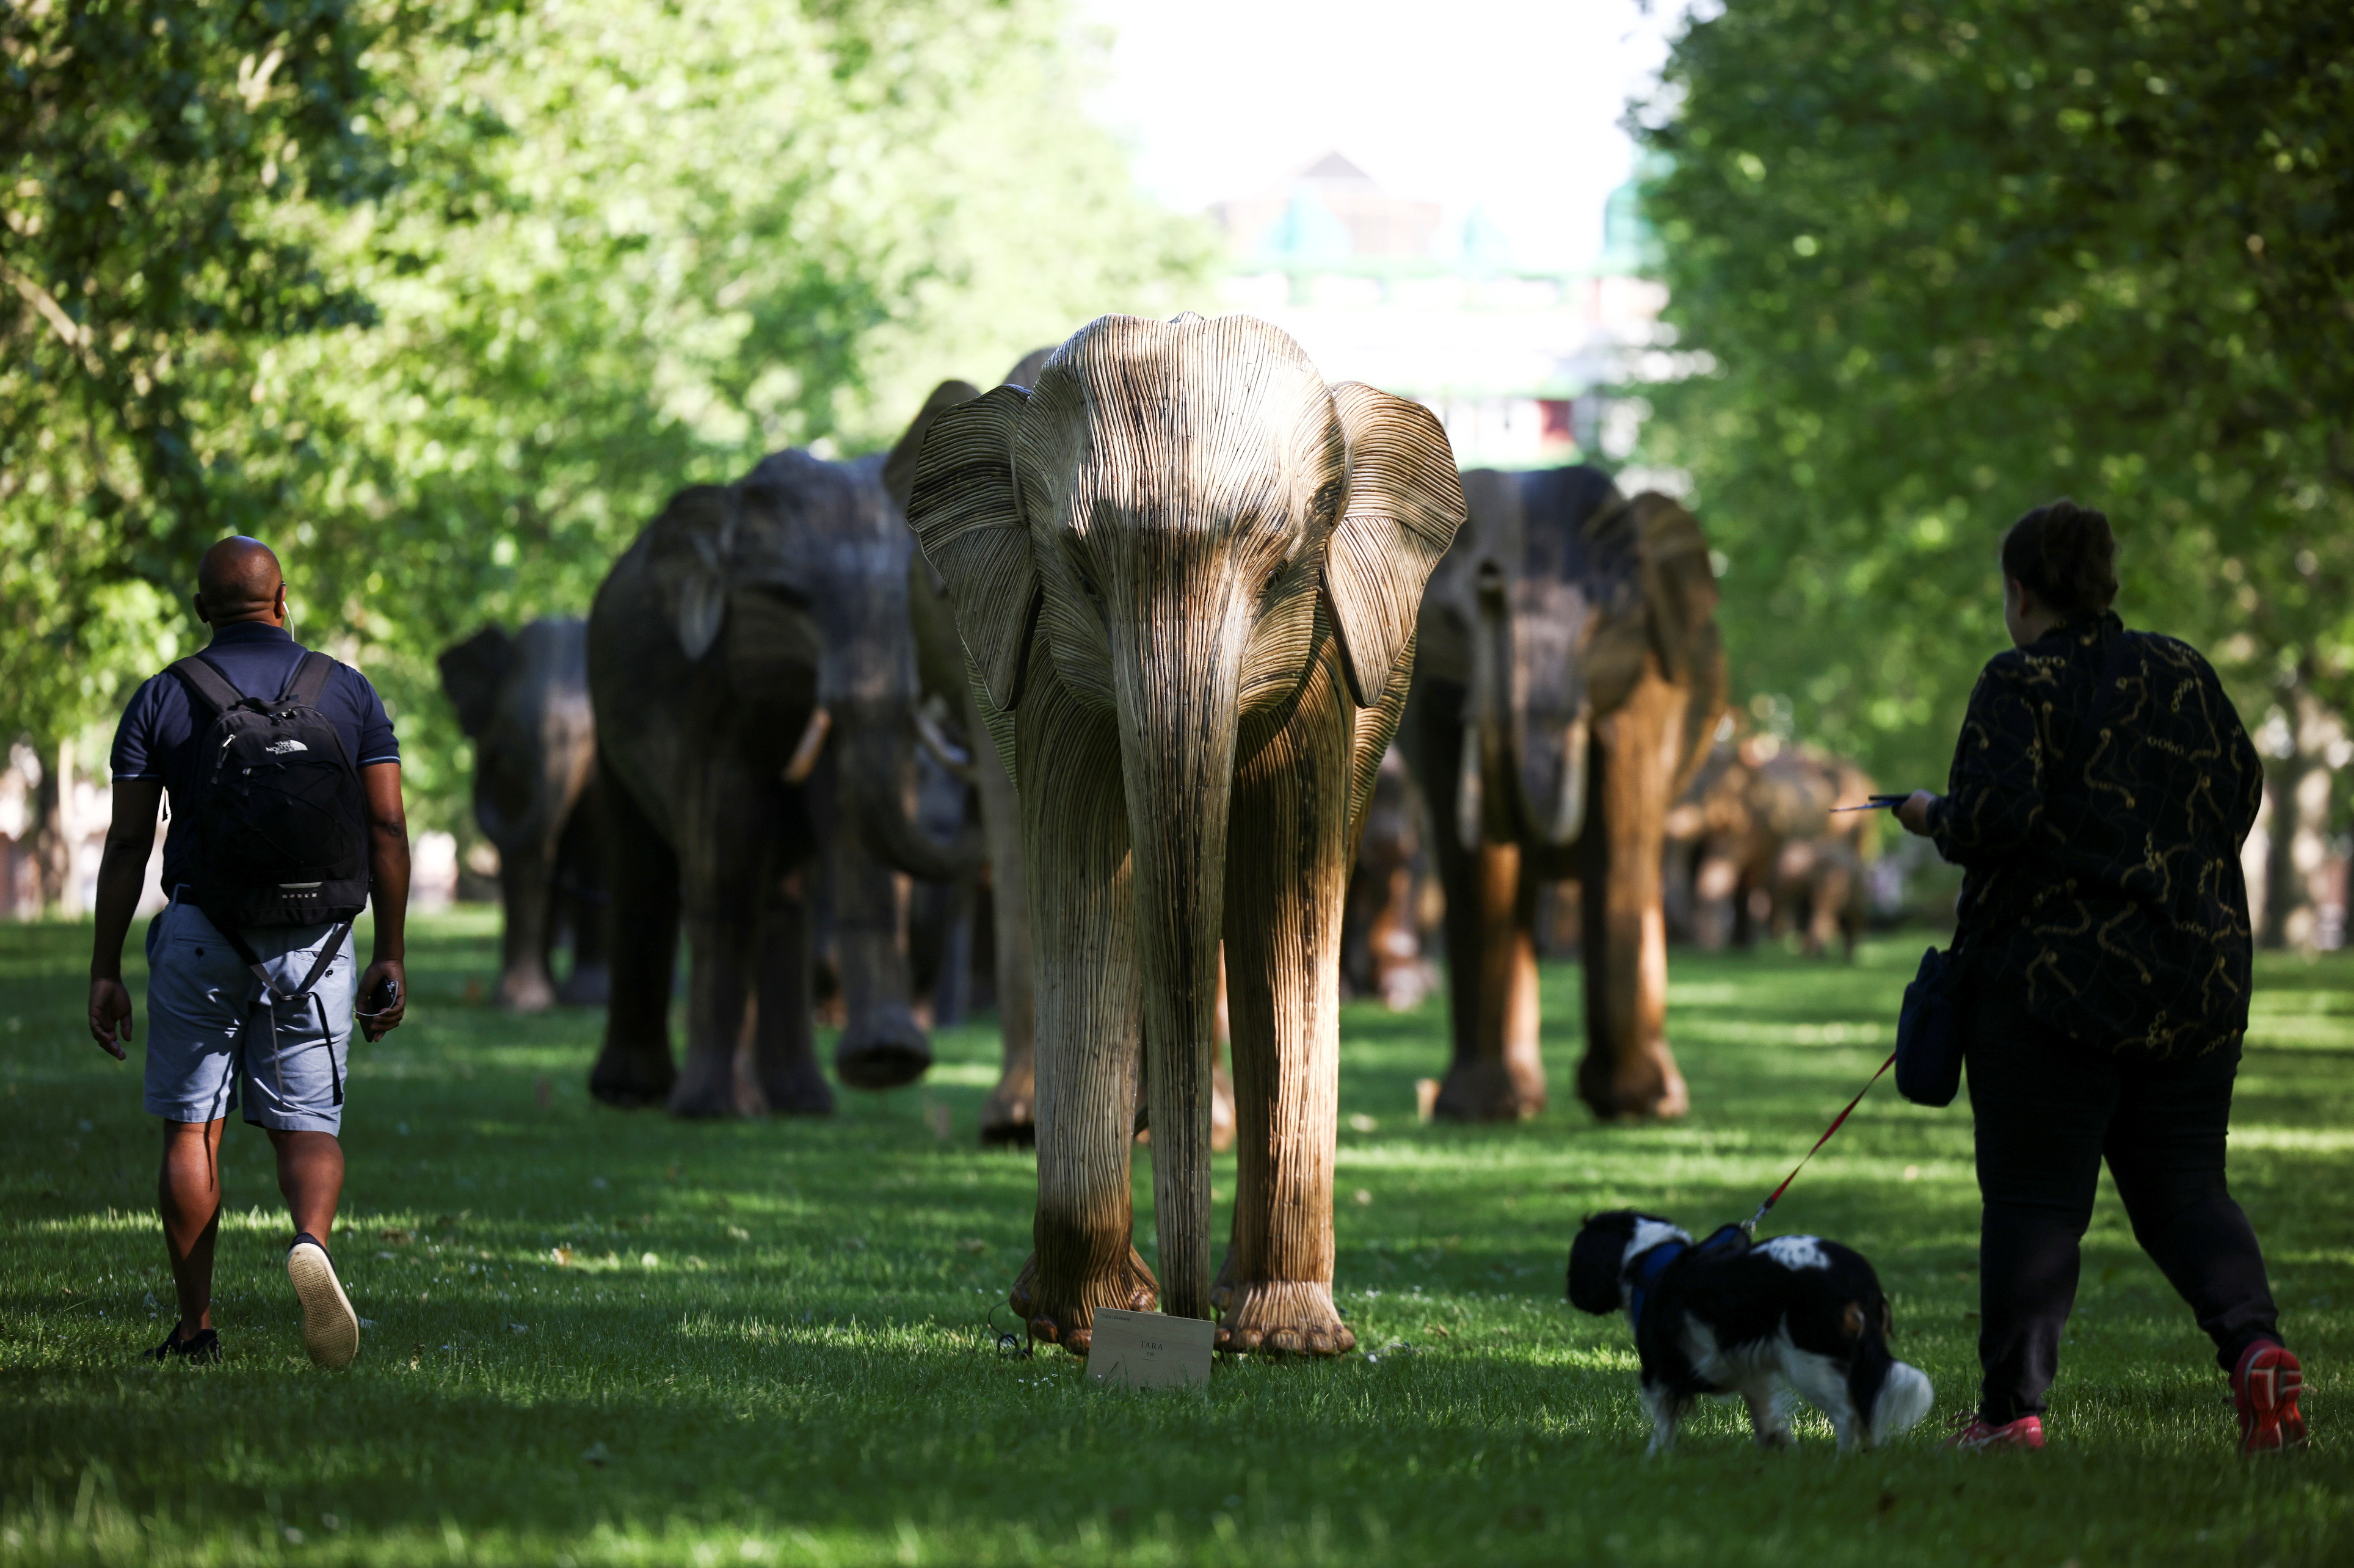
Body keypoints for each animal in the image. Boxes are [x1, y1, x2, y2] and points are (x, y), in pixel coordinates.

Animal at [1563, 1205, 1930, 1450]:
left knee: (1848, 1414)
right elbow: (1763, 1414)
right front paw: (1777, 1447)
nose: (1570, 1294)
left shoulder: (1659, 1372)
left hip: (1809, 1361)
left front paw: (1655, 1461)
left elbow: (1663, 1426)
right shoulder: (1751, 1370)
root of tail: (1858, 1278)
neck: (1650, 1258)